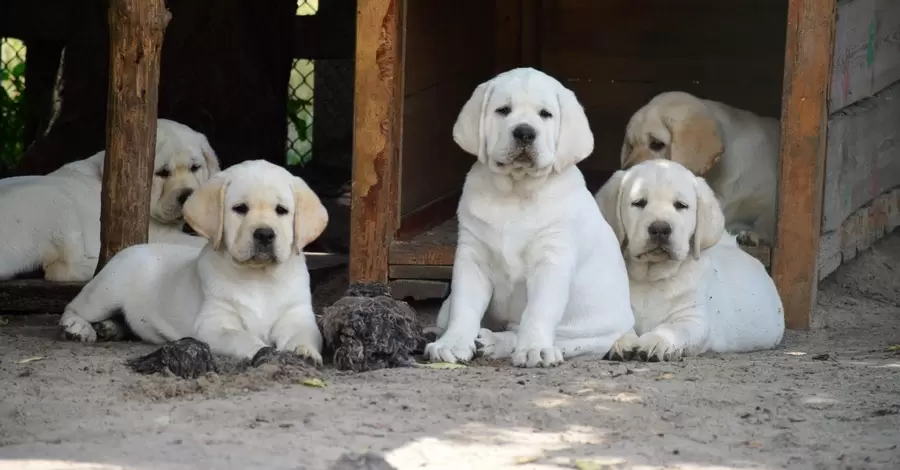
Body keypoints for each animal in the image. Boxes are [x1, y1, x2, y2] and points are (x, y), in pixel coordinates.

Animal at [0, 119, 220, 280]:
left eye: (195, 168)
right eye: (162, 173)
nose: (187, 194)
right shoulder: (157, 234)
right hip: (56, 203)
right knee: (60, 269)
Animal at [59, 159, 330, 364]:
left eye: (281, 210)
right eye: (240, 208)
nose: (264, 234)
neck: (259, 278)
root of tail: (132, 248)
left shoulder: (298, 315)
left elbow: (304, 335)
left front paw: (304, 352)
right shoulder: (214, 324)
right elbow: (240, 338)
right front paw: (262, 350)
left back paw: (109, 328)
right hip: (107, 292)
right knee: (74, 307)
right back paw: (78, 328)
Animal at [426, 67, 636, 368]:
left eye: (545, 114)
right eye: (503, 110)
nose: (524, 132)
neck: (516, 192)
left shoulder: (552, 260)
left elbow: (539, 311)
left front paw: (535, 349)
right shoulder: (472, 256)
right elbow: (464, 307)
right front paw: (452, 344)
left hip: (589, 336)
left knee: (530, 333)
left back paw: (495, 342)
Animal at [596, 160, 784, 362]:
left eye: (680, 205)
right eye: (639, 203)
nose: (660, 228)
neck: (651, 278)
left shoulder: (693, 319)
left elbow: (673, 328)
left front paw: (656, 341)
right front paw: (621, 341)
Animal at [620, 92, 780, 246]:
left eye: (656, 143)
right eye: (631, 146)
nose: (625, 173)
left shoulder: (767, 200)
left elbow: (768, 220)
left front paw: (754, 235)